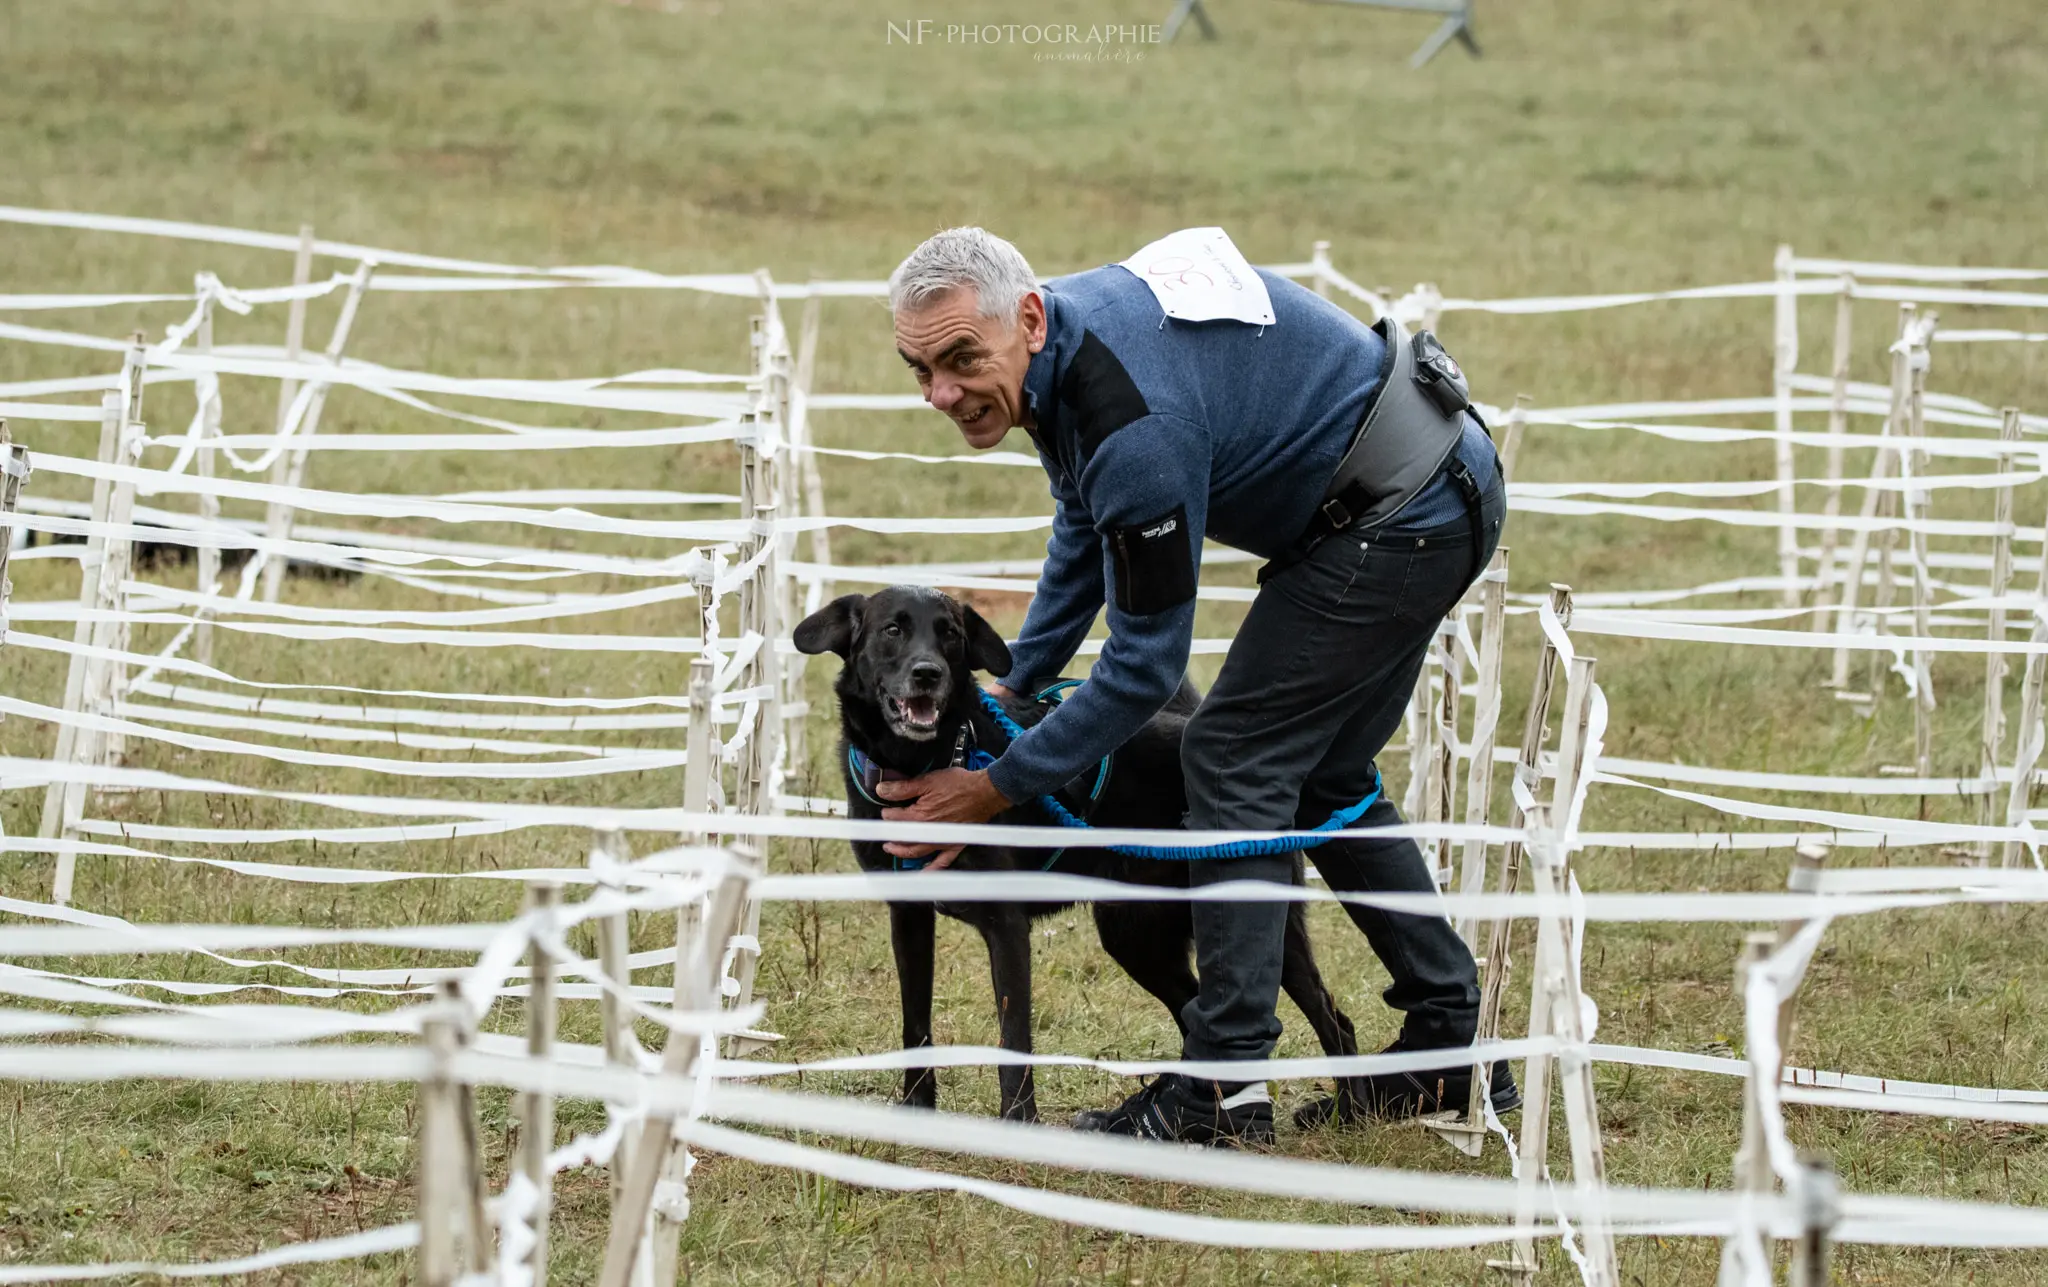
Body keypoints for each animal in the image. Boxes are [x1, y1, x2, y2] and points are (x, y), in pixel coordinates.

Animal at [794, 590, 1359, 1123]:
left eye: (949, 634)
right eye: (893, 630)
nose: (928, 674)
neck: (918, 763)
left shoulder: (1006, 925)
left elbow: (1013, 1039)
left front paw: (1018, 1125)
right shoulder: (908, 915)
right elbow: (915, 1025)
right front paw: (916, 1111)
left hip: (1253, 928)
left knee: (1331, 1016)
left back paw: (1348, 1113)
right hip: (1136, 935)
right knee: (1194, 1013)